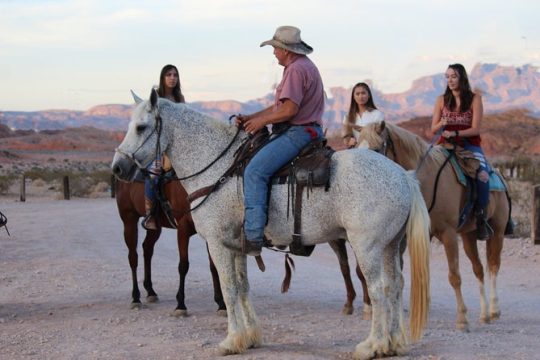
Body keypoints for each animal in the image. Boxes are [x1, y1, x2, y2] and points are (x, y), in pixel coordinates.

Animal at [114, 179, 226, 316]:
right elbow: (183, 266)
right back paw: (136, 298)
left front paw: (221, 304)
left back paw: (150, 291)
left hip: (154, 226)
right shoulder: (183, 227)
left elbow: (214, 267)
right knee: (133, 257)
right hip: (129, 219)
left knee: (147, 248)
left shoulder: (209, 231)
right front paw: (181, 305)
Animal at [356, 122, 512, 330]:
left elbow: (454, 276)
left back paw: (494, 310)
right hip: (468, 236)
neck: (425, 182)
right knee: (478, 269)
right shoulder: (418, 235)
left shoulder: (448, 234)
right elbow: (415, 276)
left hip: (498, 231)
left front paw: (462, 319)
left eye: (375, 149)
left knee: (494, 266)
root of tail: (500, 177)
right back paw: (484, 313)